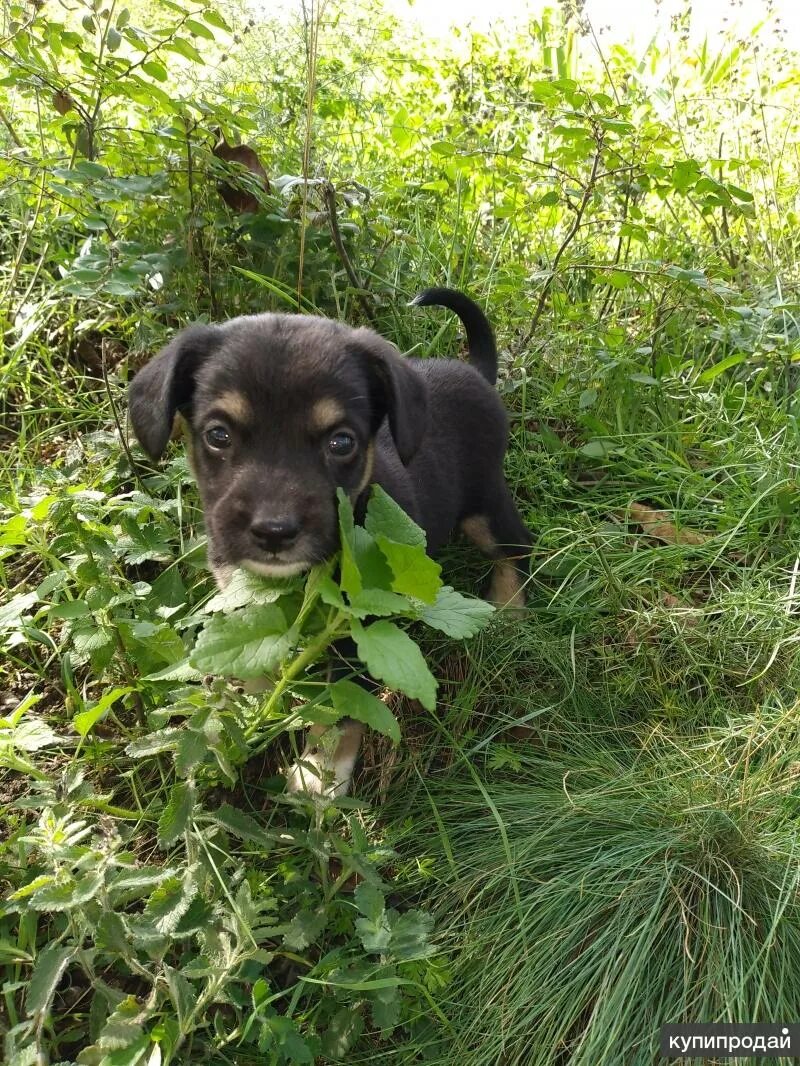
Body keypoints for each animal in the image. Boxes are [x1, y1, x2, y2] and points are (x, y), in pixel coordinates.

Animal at [128, 287, 533, 797]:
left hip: (486, 506)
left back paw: (509, 611)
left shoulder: (353, 628)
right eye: (217, 435)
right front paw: (249, 710)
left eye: (341, 442)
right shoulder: (242, 596)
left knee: (518, 546)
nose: (274, 531)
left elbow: (341, 705)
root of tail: (475, 373)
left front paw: (319, 775)